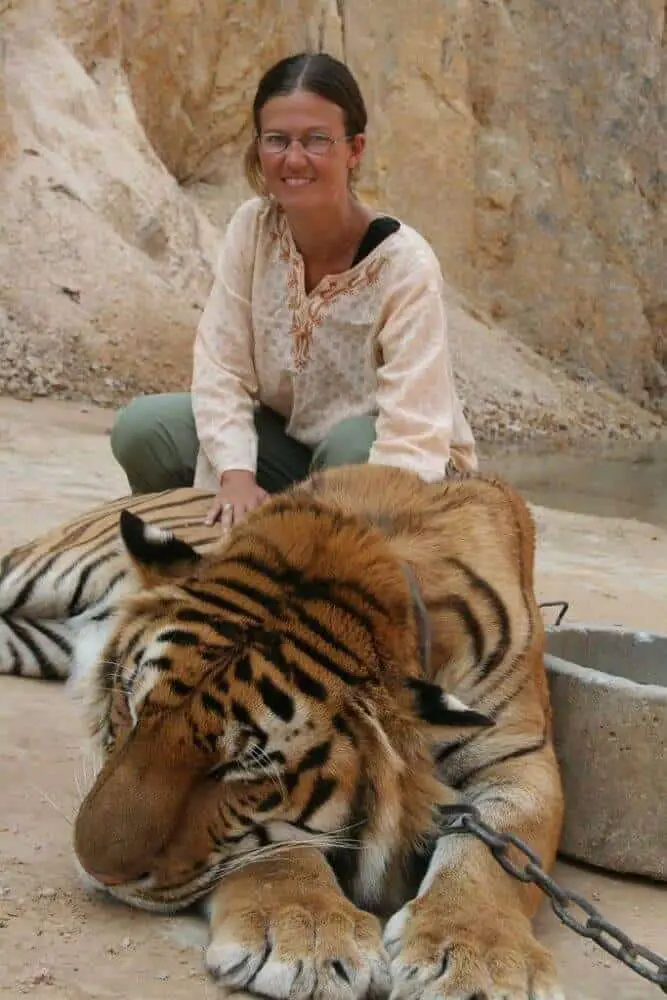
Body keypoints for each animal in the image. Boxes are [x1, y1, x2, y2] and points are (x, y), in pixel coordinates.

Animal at [0, 464, 568, 996]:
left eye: (238, 770)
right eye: (131, 711)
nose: (96, 870)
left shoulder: (519, 759)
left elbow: (496, 853)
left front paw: (480, 960)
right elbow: (276, 844)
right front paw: (307, 931)